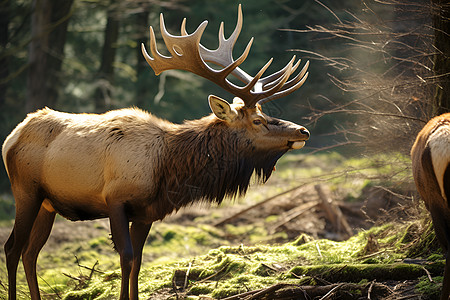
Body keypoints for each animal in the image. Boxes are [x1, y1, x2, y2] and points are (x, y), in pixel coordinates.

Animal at [1, 4, 310, 300]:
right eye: (257, 121)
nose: (302, 131)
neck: (168, 169)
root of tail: (11, 138)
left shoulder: (146, 212)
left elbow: (138, 262)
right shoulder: (115, 199)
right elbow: (126, 258)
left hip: (47, 204)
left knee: (31, 252)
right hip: (25, 191)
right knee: (12, 247)